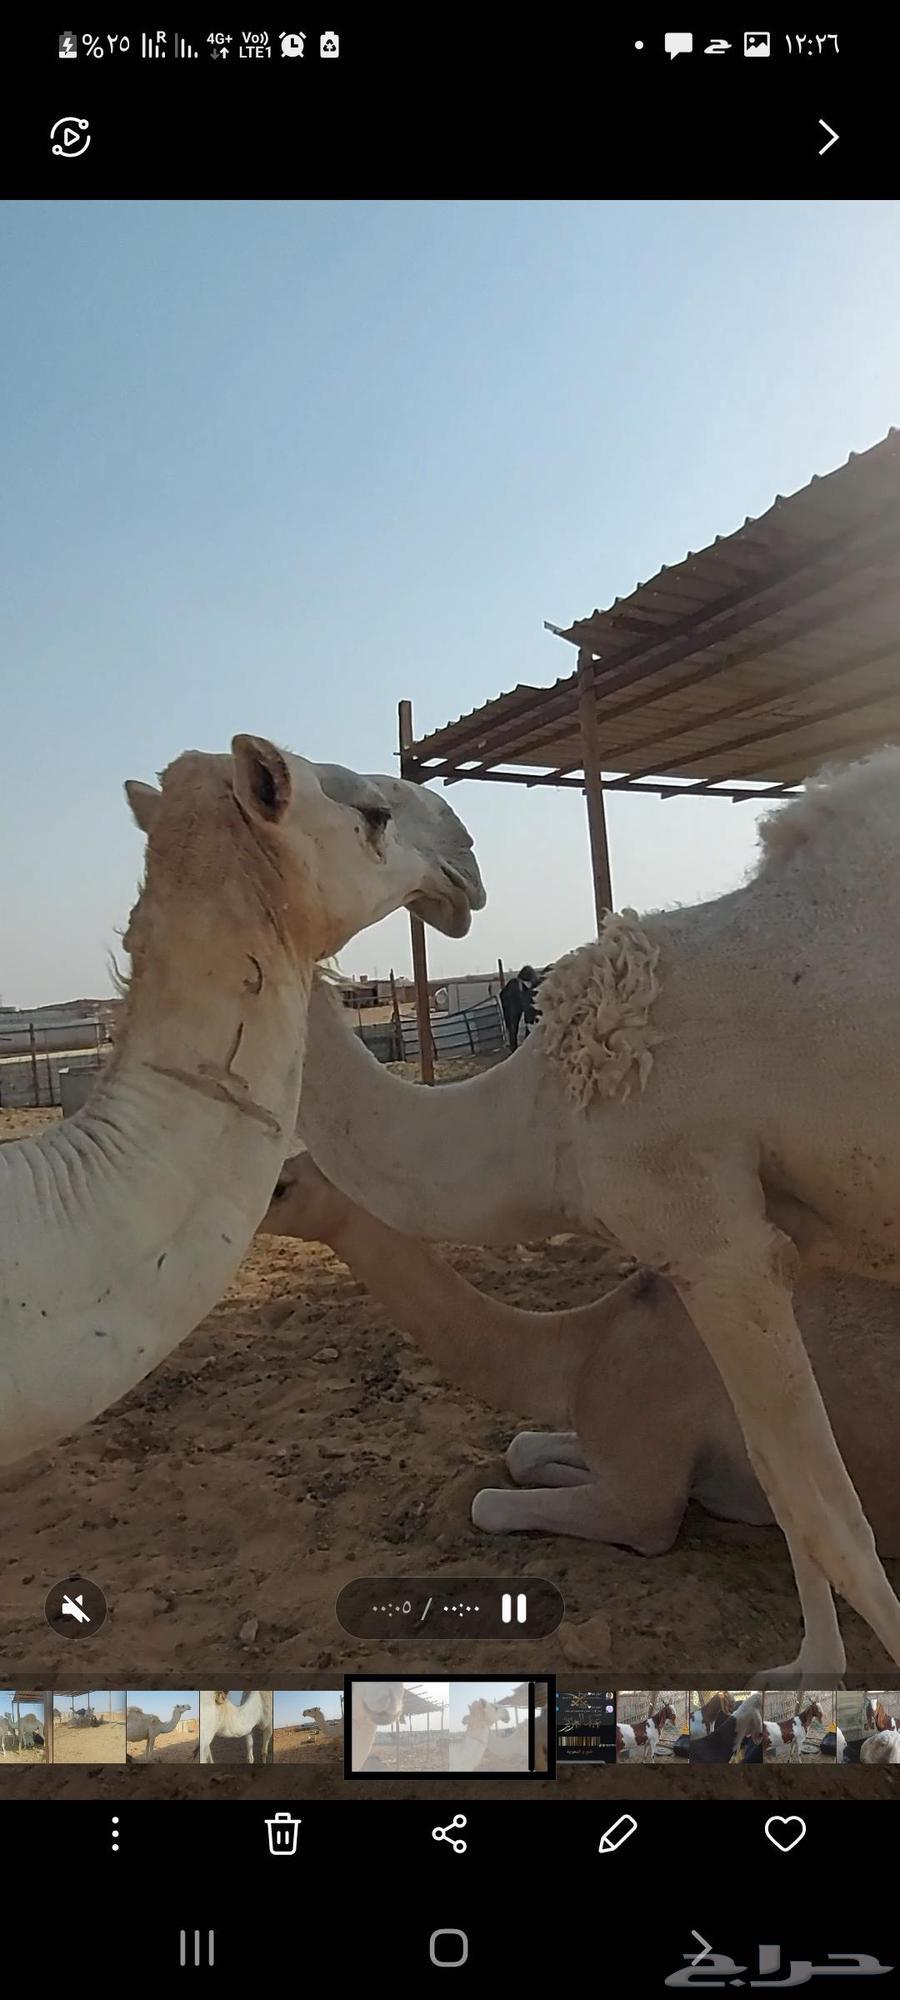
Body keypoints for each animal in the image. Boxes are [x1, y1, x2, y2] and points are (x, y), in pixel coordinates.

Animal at [292, 751, 900, 1679]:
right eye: (369, 808)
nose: (464, 861)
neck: (551, 1109)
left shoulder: (712, 1237)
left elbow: (825, 1509)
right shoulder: (759, 1245)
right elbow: (782, 1479)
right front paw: (809, 1671)